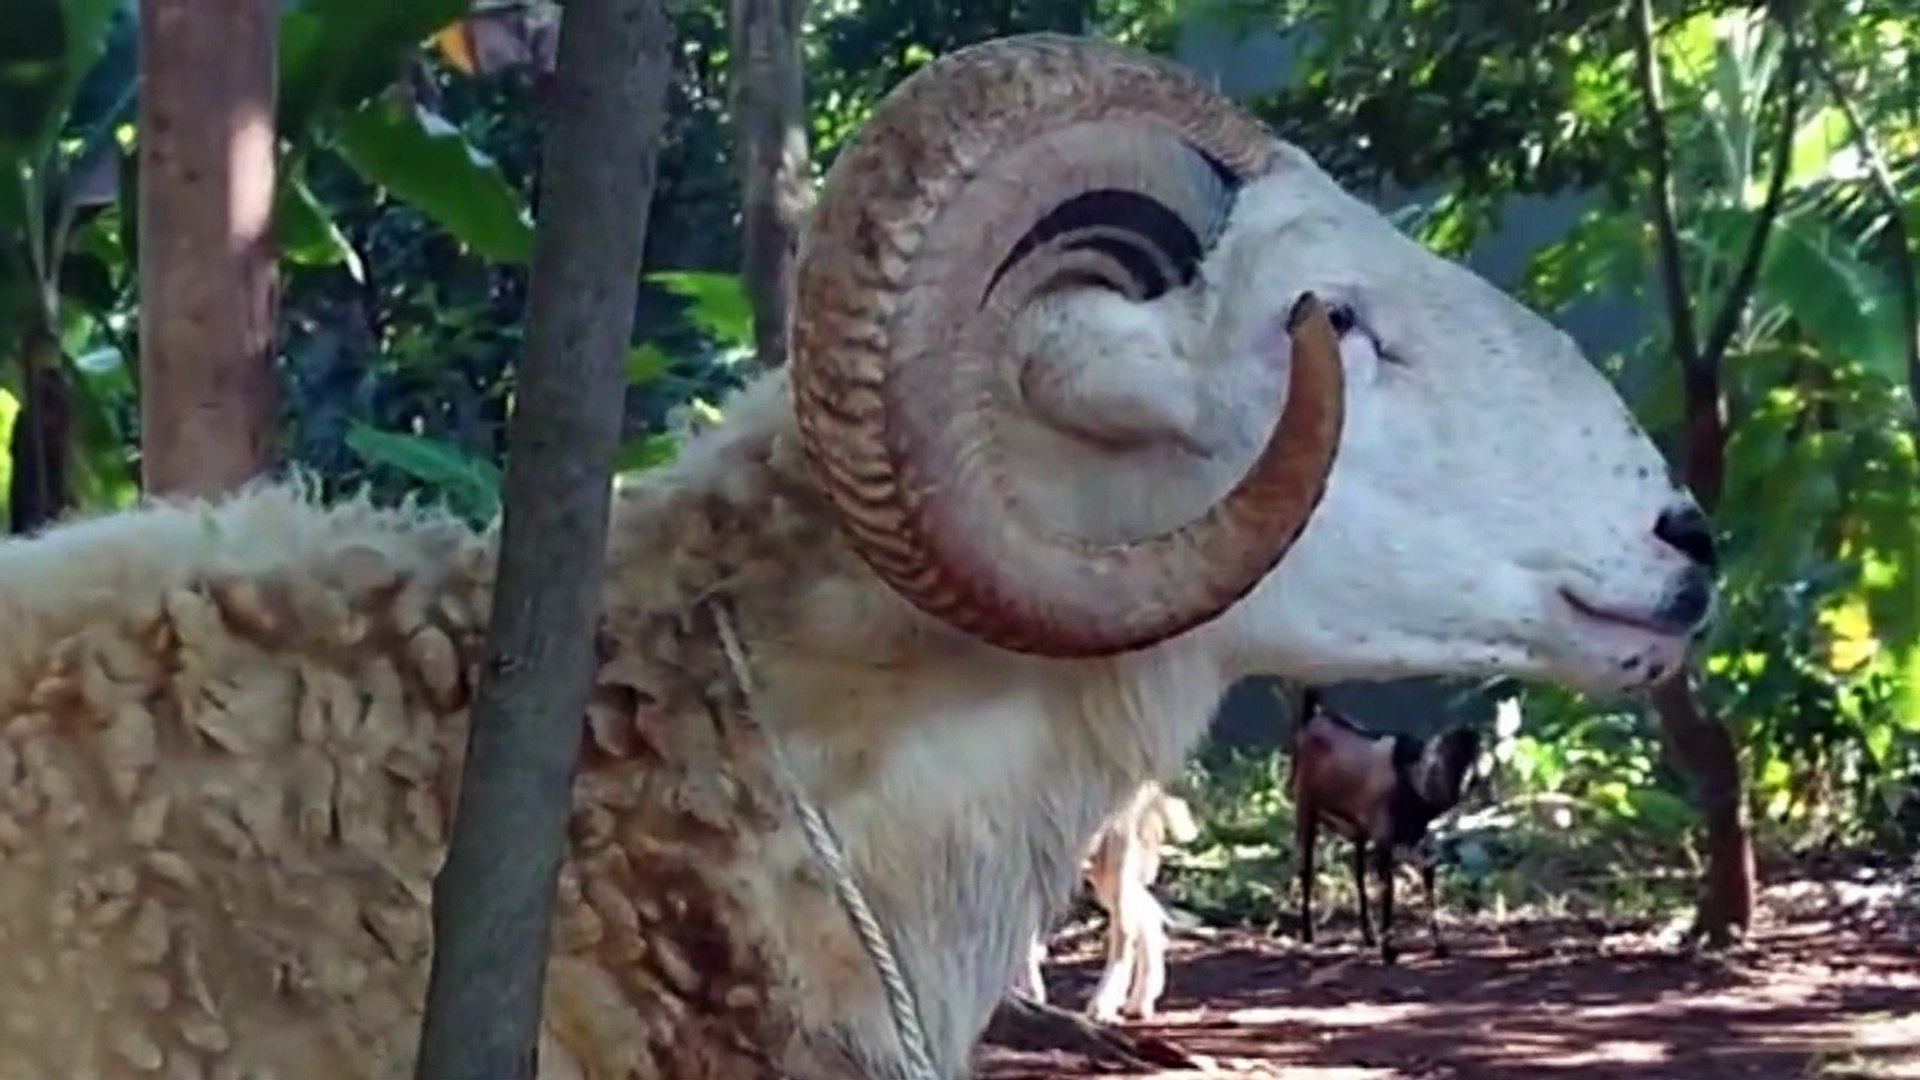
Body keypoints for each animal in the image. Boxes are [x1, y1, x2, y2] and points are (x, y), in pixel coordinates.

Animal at [1289, 688, 1483, 964]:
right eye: (1451, 757)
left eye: (1474, 756)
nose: (1471, 784)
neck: (1410, 780)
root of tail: (1315, 719)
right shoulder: (1384, 839)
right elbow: (1388, 890)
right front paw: (1389, 950)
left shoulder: (1419, 840)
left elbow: (1428, 886)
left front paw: (1440, 946)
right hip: (1306, 808)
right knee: (1306, 869)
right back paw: (1308, 935)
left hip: (1357, 830)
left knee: (1358, 875)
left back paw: (1368, 936)